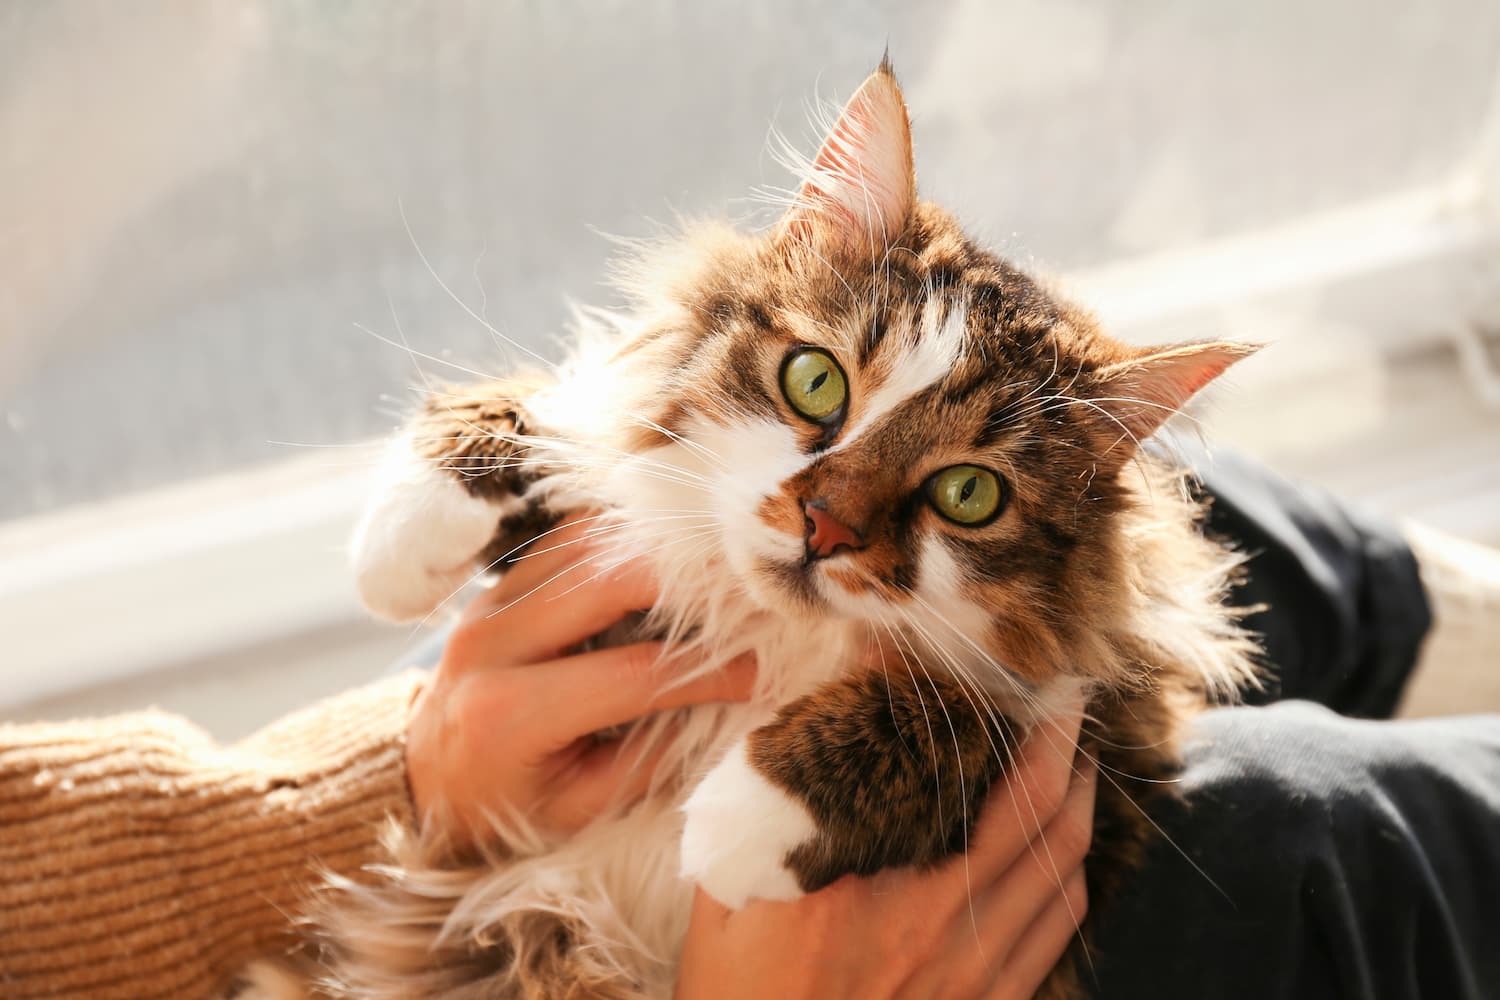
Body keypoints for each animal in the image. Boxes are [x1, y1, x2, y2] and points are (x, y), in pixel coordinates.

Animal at [298, 58, 1260, 995]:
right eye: (815, 381)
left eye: (968, 495)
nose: (825, 526)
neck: (766, 626)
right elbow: (555, 419)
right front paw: (402, 537)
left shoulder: (1104, 728)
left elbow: (957, 712)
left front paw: (735, 823)